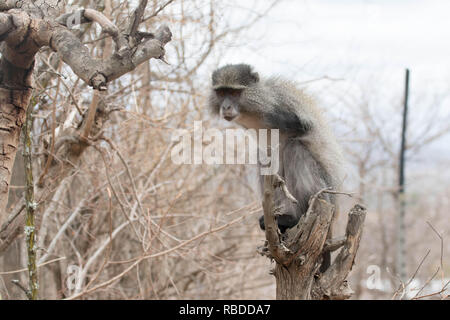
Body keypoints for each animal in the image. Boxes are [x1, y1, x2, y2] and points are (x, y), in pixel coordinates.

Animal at [208, 63, 344, 272]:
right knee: (264, 155)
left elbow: (303, 129)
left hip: (326, 191)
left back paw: (295, 218)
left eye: (234, 92)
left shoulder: (280, 109)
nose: (226, 107)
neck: (255, 110)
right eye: (222, 92)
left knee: (294, 148)